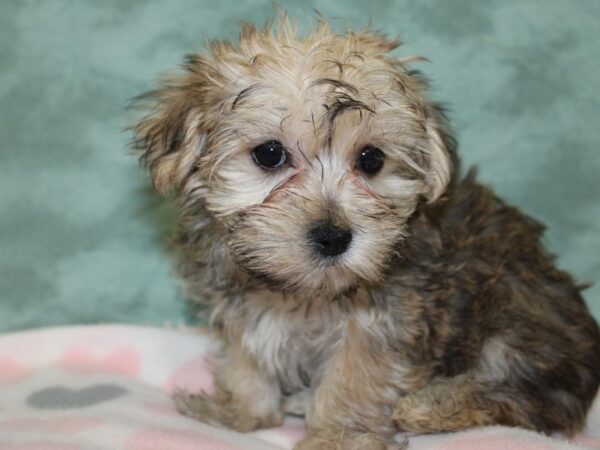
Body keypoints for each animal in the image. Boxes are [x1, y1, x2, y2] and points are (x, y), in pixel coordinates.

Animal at [132, 15, 600, 448]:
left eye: (372, 159)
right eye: (269, 154)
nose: (334, 237)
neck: (304, 292)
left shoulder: (384, 322)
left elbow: (354, 378)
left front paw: (338, 435)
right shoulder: (242, 305)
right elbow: (246, 357)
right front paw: (238, 412)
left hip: (518, 321)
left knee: (525, 399)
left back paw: (433, 404)